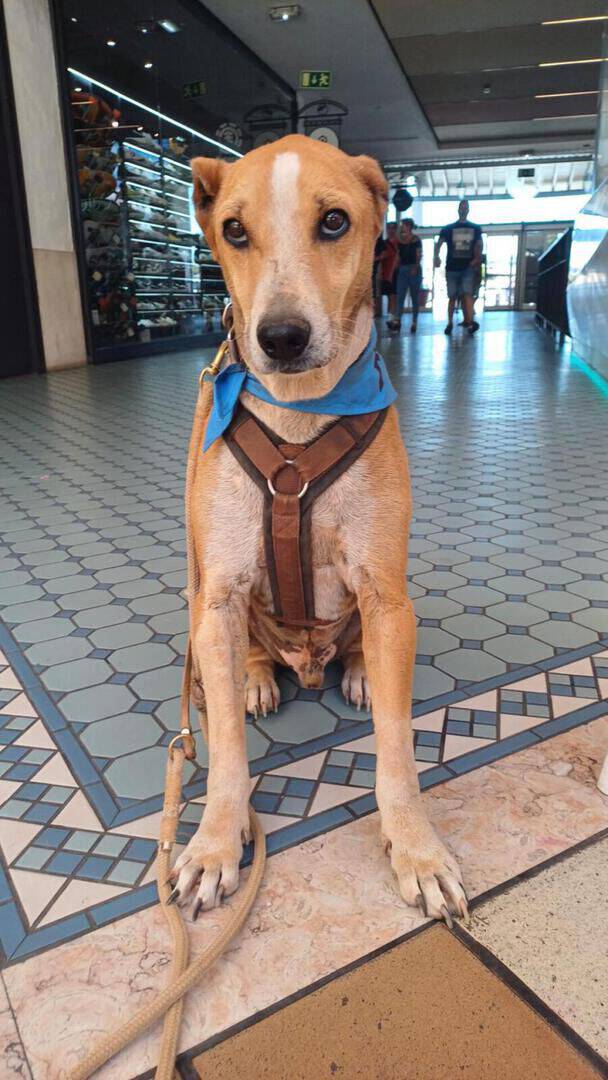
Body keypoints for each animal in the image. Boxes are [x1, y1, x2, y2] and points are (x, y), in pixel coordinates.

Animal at [169, 135, 467, 926]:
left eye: (334, 221)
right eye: (234, 231)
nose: (280, 336)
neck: (299, 410)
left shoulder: (386, 592)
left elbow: (397, 747)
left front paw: (416, 848)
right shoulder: (216, 594)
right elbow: (225, 749)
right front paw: (216, 841)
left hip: (385, 614)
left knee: (363, 649)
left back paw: (358, 670)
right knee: (244, 664)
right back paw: (259, 677)